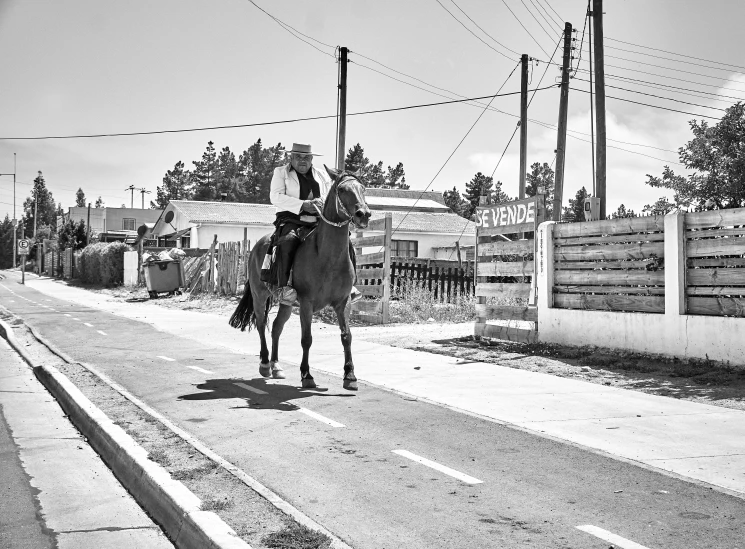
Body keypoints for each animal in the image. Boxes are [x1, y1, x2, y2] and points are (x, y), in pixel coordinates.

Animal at [225, 166, 368, 390]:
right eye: (343, 189)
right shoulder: (307, 303)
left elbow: (346, 336)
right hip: (259, 295)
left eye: (363, 188)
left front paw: (350, 376)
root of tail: (257, 245)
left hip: (286, 302)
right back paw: (265, 364)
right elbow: (306, 338)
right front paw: (306, 375)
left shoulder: (343, 302)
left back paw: (276, 366)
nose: (364, 214)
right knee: (261, 324)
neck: (327, 257)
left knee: (276, 327)